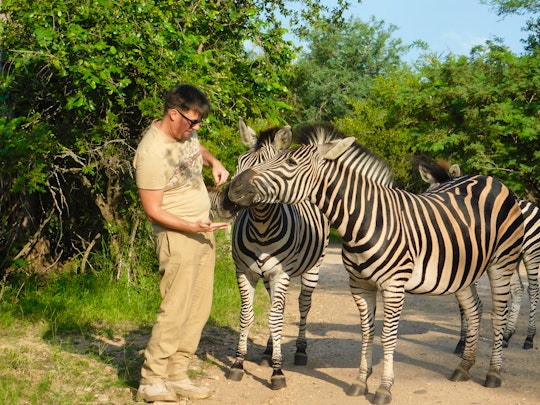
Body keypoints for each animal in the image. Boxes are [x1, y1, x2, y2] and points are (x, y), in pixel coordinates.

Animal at [213, 117, 332, 388]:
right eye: (239, 162)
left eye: (266, 169)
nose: (228, 200)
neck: (261, 227)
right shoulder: (244, 271)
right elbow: (247, 316)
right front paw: (238, 363)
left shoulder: (281, 273)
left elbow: (277, 319)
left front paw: (278, 372)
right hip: (269, 276)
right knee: (276, 307)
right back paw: (268, 351)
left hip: (312, 268)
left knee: (302, 305)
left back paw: (300, 350)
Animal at [228, 124, 524, 404]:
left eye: (288, 162)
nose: (233, 189)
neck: (365, 220)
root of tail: (488, 178)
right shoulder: (360, 286)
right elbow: (367, 332)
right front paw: (360, 382)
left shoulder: (394, 287)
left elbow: (388, 335)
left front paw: (384, 388)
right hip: (462, 270)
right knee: (474, 310)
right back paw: (464, 367)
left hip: (502, 263)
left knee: (498, 314)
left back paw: (493, 372)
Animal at [416, 156, 536, 348]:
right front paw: (464, 339)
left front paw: (464, 340)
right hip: (512, 260)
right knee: (518, 290)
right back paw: (507, 335)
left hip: (532, 254)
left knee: (533, 291)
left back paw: (529, 338)